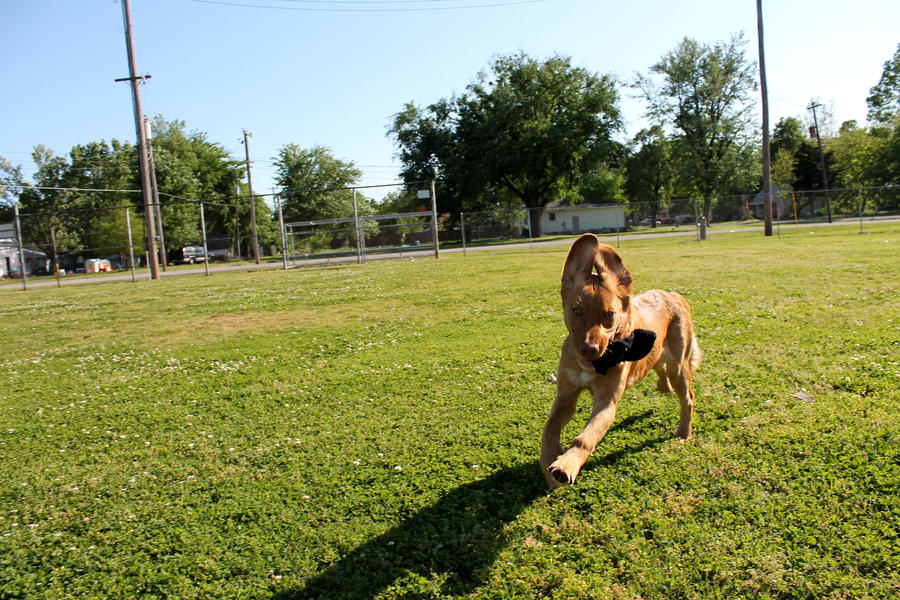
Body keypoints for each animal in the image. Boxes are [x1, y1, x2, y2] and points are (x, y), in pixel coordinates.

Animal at [540, 234, 704, 488]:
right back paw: (662, 386)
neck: (594, 365)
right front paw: (550, 459)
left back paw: (683, 432)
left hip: (679, 367)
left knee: (688, 398)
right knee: (661, 373)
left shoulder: (606, 403)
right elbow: (549, 429)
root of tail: (675, 295)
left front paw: (566, 465)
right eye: (576, 311)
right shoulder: (566, 394)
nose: (589, 349)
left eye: (609, 315)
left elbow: (585, 438)